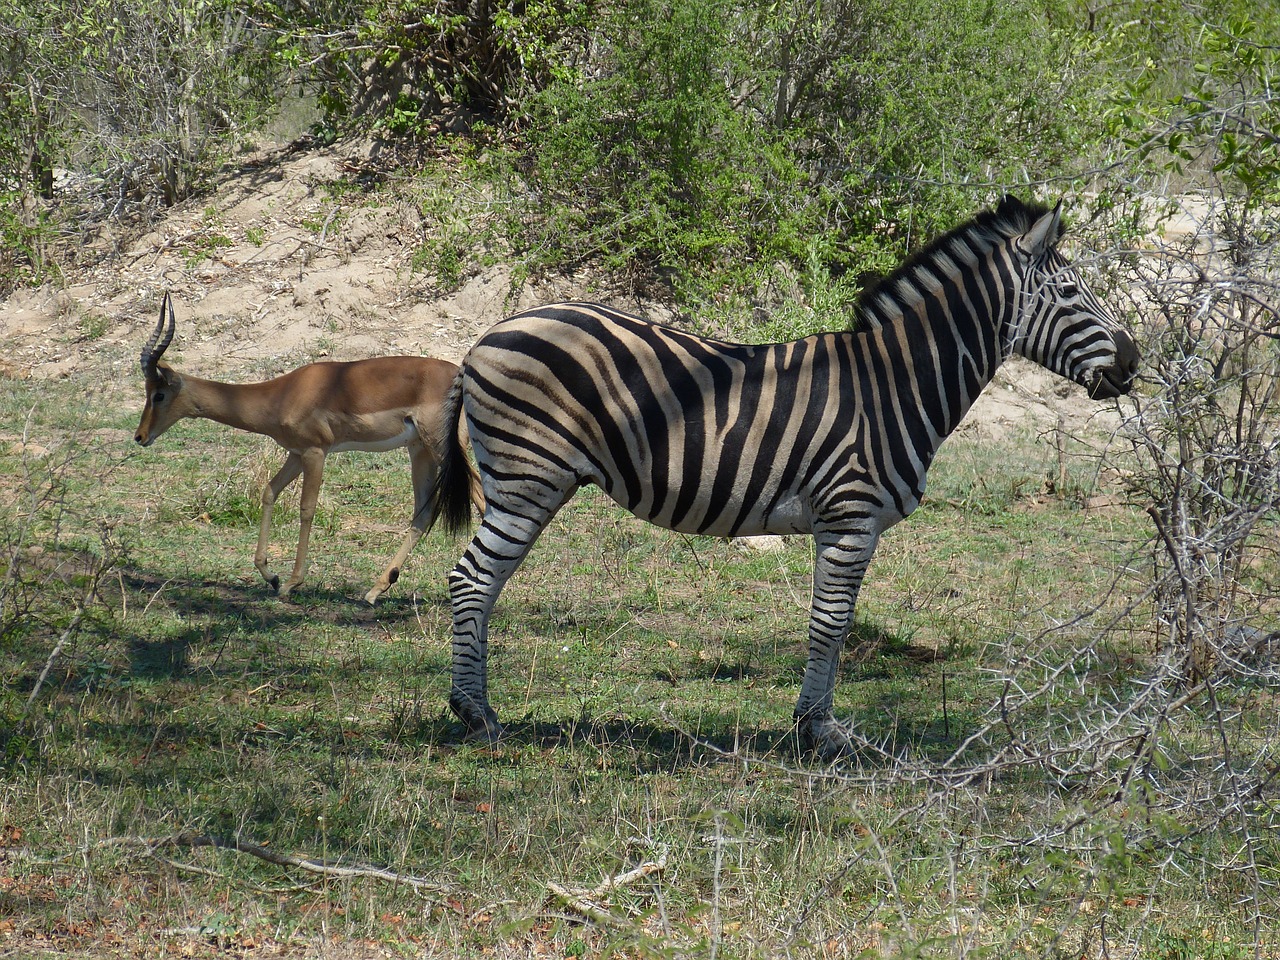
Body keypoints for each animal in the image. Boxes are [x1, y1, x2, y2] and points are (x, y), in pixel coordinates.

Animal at [135, 295, 483, 609]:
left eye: (159, 394)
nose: (140, 437)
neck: (281, 394)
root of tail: (459, 376)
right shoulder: (295, 453)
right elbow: (269, 492)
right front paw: (271, 577)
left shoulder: (316, 453)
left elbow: (306, 508)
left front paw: (290, 583)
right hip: (419, 451)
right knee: (423, 512)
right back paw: (374, 591)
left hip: (443, 448)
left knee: (481, 499)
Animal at [430, 195, 1141, 757]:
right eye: (1073, 294)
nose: (1135, 362)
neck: (894, 384)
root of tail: (484, 338)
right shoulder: (851, 514)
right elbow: (832, 622)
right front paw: (819, 731)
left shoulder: (843, 522)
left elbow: (836, 620)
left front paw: (814, 724)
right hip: (530, 478)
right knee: (470, 579)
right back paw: (478, 717)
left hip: (527, 482)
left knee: (481, 583)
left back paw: (477, 709)